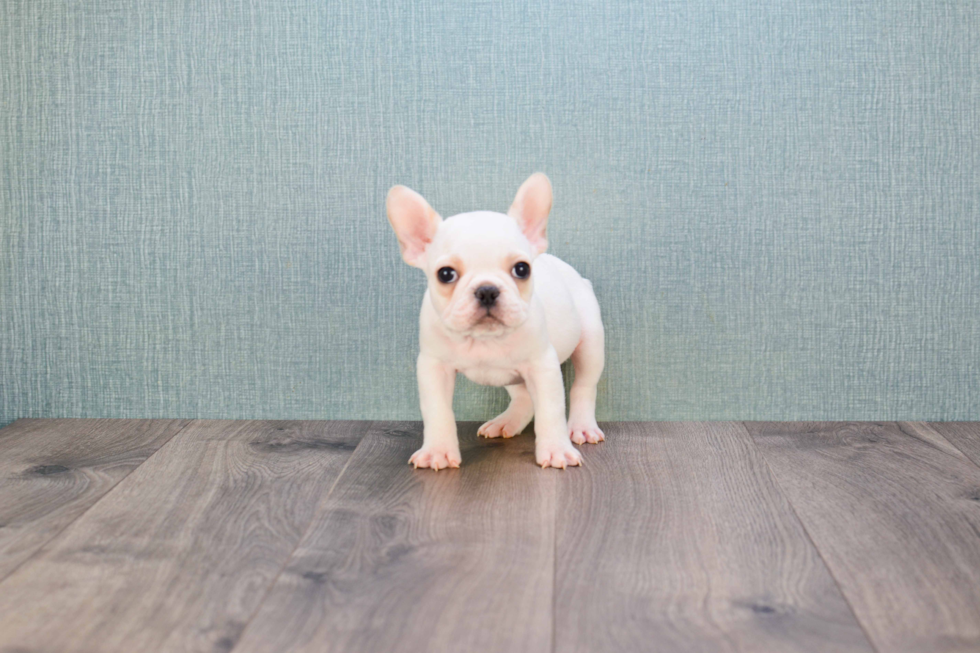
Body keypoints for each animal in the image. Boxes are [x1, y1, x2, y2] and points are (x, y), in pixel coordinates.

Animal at [384, 173, 604, 468]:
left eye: (522, 269)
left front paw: (556, 449)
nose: (487, 290)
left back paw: (582, 426)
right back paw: (507, 421)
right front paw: (437, 451)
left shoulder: (543, 366)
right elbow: (437, 411)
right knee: (523, 396)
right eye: (445, 274)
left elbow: (551, 411)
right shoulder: (434, 368)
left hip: (591, 342)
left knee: (584, 386)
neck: (483, 339)